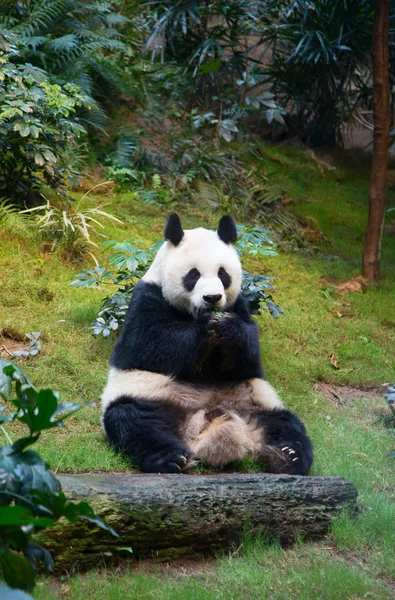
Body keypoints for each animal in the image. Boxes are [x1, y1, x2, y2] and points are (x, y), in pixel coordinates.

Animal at [100, 214, 314, 474]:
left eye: (223, 274)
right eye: (193, 275)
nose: (212, 298)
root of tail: (201, 423)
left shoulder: (239, 304)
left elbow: (249, 359)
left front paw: (229, 329)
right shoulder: (146, 299)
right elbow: (148, 346)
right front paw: (204, 328)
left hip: (257, 404)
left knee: (285, 424)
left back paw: (287, 456)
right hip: (150, 396)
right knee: (134, 421)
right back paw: (173, 458)